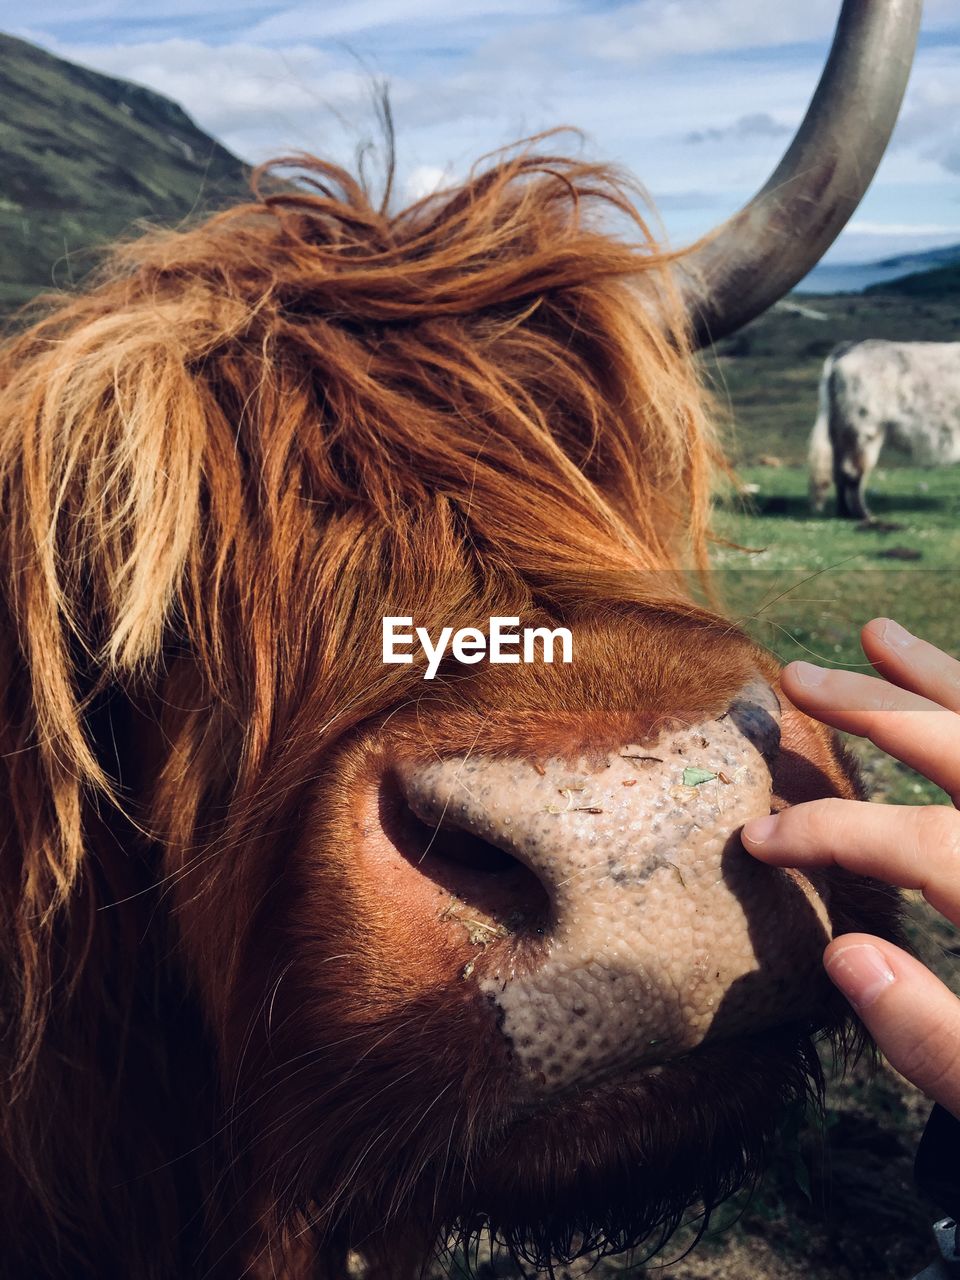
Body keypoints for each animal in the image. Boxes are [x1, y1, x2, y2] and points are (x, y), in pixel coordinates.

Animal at [814, 343, 960, 522]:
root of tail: (849, 349)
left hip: (840, 435)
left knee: (839, 472)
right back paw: (865, 516)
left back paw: (844, 513)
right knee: (852, 473)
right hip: (863, 431)